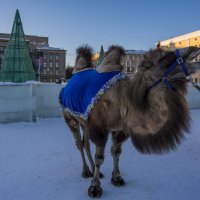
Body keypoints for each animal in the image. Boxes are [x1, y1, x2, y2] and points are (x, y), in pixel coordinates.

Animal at [59, 45, 198, 197]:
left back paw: (96, 172)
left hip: (85, 122)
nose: (194, 49)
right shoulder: (100, 128)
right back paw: (85, 172)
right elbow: (99, 158)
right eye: (168, 57)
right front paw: (94, 188)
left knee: (86, 143)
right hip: (70, 118)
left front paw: (117, 178)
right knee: (79, 143)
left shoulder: (120, 129)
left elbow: (116, 152)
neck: (124, 101)